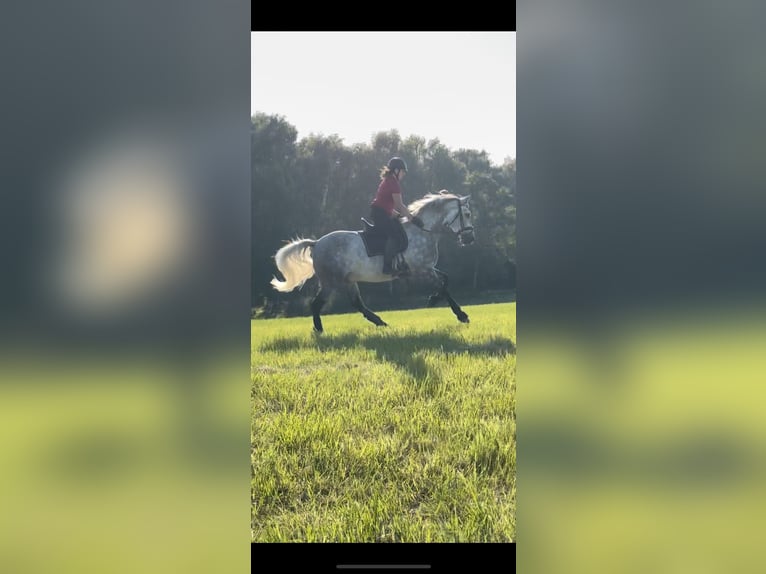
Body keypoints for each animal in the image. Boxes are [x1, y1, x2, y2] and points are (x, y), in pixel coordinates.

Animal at [270, 191, 475, 332]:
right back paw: (319, 330)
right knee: (316, 303)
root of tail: (317, 243)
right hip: (331, 282)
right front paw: (461, 315)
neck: (423, 231)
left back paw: (380, 322)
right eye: (467, 214)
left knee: (356, 303)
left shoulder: (426, 268)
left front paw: (434, 299)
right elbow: (444, 287)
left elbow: (446, 279)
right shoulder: (422, 270)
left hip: (348, 280)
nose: (470, 239)